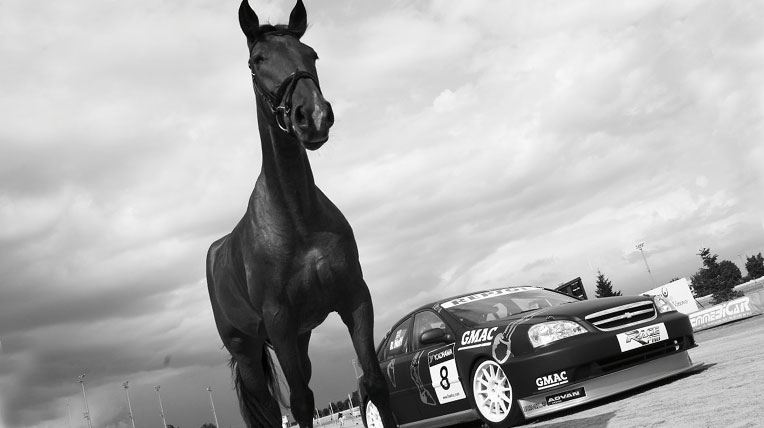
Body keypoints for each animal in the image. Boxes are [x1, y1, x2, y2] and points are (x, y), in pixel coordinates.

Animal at [206, 1, 396, 427]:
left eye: (311, 54)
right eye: (257, 60)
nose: (313, 115)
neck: (297, 220)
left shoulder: (354, 299)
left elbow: (374, 382)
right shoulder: (279, 323)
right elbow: (302, 402)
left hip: (302, 337)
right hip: (247, 350)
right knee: (268, 408)